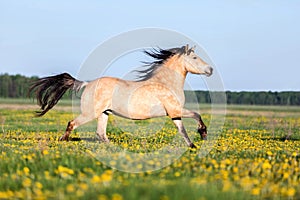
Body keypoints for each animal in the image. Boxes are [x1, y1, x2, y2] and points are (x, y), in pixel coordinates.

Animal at [29, 45, 213, 148]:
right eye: (195, 57)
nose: (210, 70)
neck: (166, 83)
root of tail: (87, 84)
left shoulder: (174, 113)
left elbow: (184, 127)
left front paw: (194, 143)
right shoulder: (175, 110)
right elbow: (194, 118)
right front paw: (201, 135)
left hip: (104, 113)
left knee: (101, 133)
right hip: (90, 113)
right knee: (72, 123)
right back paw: (62, 140)